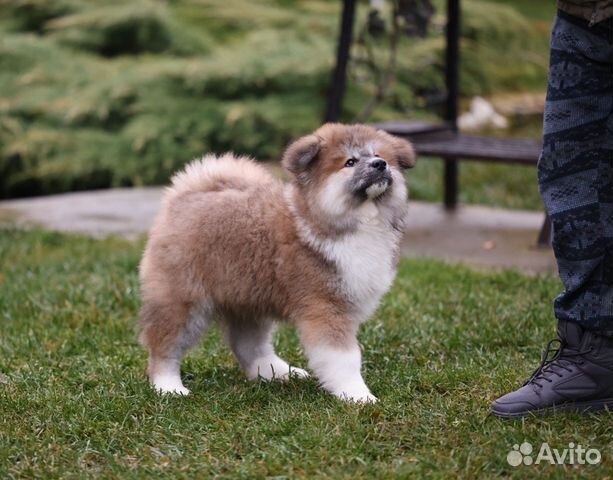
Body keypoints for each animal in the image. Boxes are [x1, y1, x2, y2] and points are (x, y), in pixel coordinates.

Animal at [139, 123, 416, 402]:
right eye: (350, 162)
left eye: (379, 155)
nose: (380, 164)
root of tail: (185, 196)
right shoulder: (327, 307)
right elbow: (345, 358)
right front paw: (358, 395)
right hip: (184, 299)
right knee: (164, 344)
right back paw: (168, 386)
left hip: (248, 297)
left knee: (249, 345)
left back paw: (278, 373)